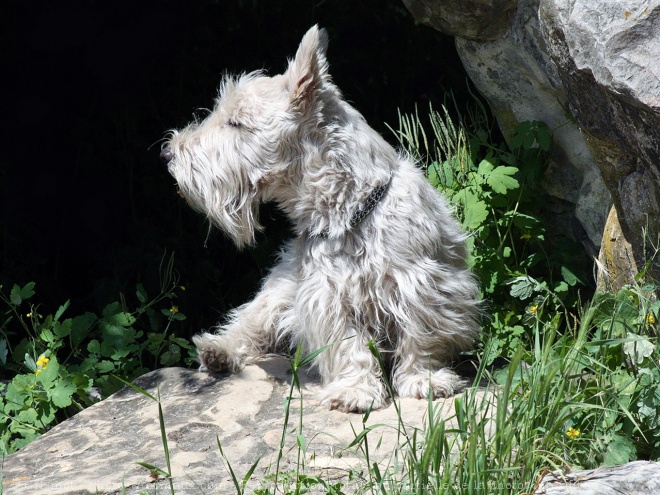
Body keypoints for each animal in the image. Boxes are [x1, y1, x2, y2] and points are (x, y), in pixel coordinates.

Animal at [160, 25, 480, 412]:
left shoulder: (423, 285)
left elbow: (422, 338)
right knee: (252, 323)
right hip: (282, 285)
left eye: (236, 123)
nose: (168, 153)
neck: (349, 212)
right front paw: (355, 391)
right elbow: (347, 346)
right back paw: (218, 351)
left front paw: (424, 380)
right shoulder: (326, 296)